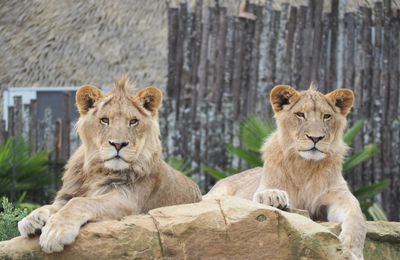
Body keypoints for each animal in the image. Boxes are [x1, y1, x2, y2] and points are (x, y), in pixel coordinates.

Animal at [17, 76, 202, 253]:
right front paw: (32, 218)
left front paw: (55, 232)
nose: (118, 144)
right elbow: (54, 206)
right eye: (105, 120)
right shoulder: (68, 195)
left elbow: (79, 202)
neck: (97, 170)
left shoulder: (128, 199)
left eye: (133, 121)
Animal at [205, 84, 368, 258]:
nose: (315, 138)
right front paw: (272, 196)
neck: (305, 165)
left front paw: (352, 252)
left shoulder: (339, 195)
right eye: (300, 114)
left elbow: (357, 217)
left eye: (326, 116)